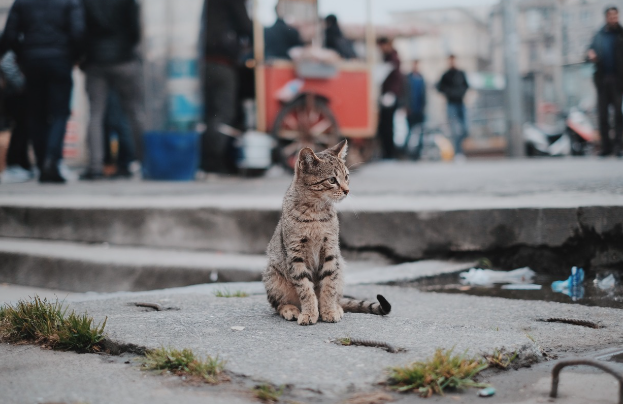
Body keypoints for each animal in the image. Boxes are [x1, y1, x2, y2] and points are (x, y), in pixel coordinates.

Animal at [262, 140, 390, 326]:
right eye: (332, 180)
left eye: (347, 177)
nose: (347, 190)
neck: (316, 212)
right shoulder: (296, 254)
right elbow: (305, 288)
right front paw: (309, 313)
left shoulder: (330, 250)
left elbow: (329, 286)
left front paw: (328, 310)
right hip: (273, 276)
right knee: (277, 303)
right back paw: (290, 309)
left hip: (341, 267)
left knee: (337, 294)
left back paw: (336, 307)